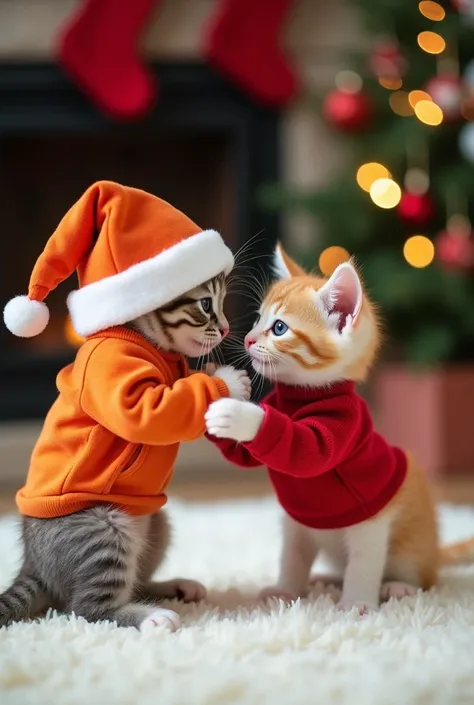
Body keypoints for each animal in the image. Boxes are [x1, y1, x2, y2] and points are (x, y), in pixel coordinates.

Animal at [0, 272, 244, 628]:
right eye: (206, 304)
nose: (226, 329)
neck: (142, 337)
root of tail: (34, 565)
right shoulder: (114, 370)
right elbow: (154, 410)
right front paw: (229, 381)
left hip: (156, 523)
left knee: (134, 583)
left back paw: (173, 587)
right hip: (103, 531)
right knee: (84, 608)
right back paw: (151, 616)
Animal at [206, 246, 472, 612]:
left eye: (279, 328)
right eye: (258, 319)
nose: (247, 338)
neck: (302, 395)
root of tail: (436, 552)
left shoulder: (346, 437)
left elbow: (303, 450)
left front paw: (357, 603)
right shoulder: (296, 524)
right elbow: (292, 556)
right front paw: (286, 591)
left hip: (411, 544)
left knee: (418, 575)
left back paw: (398, 587)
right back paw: (329, 579)